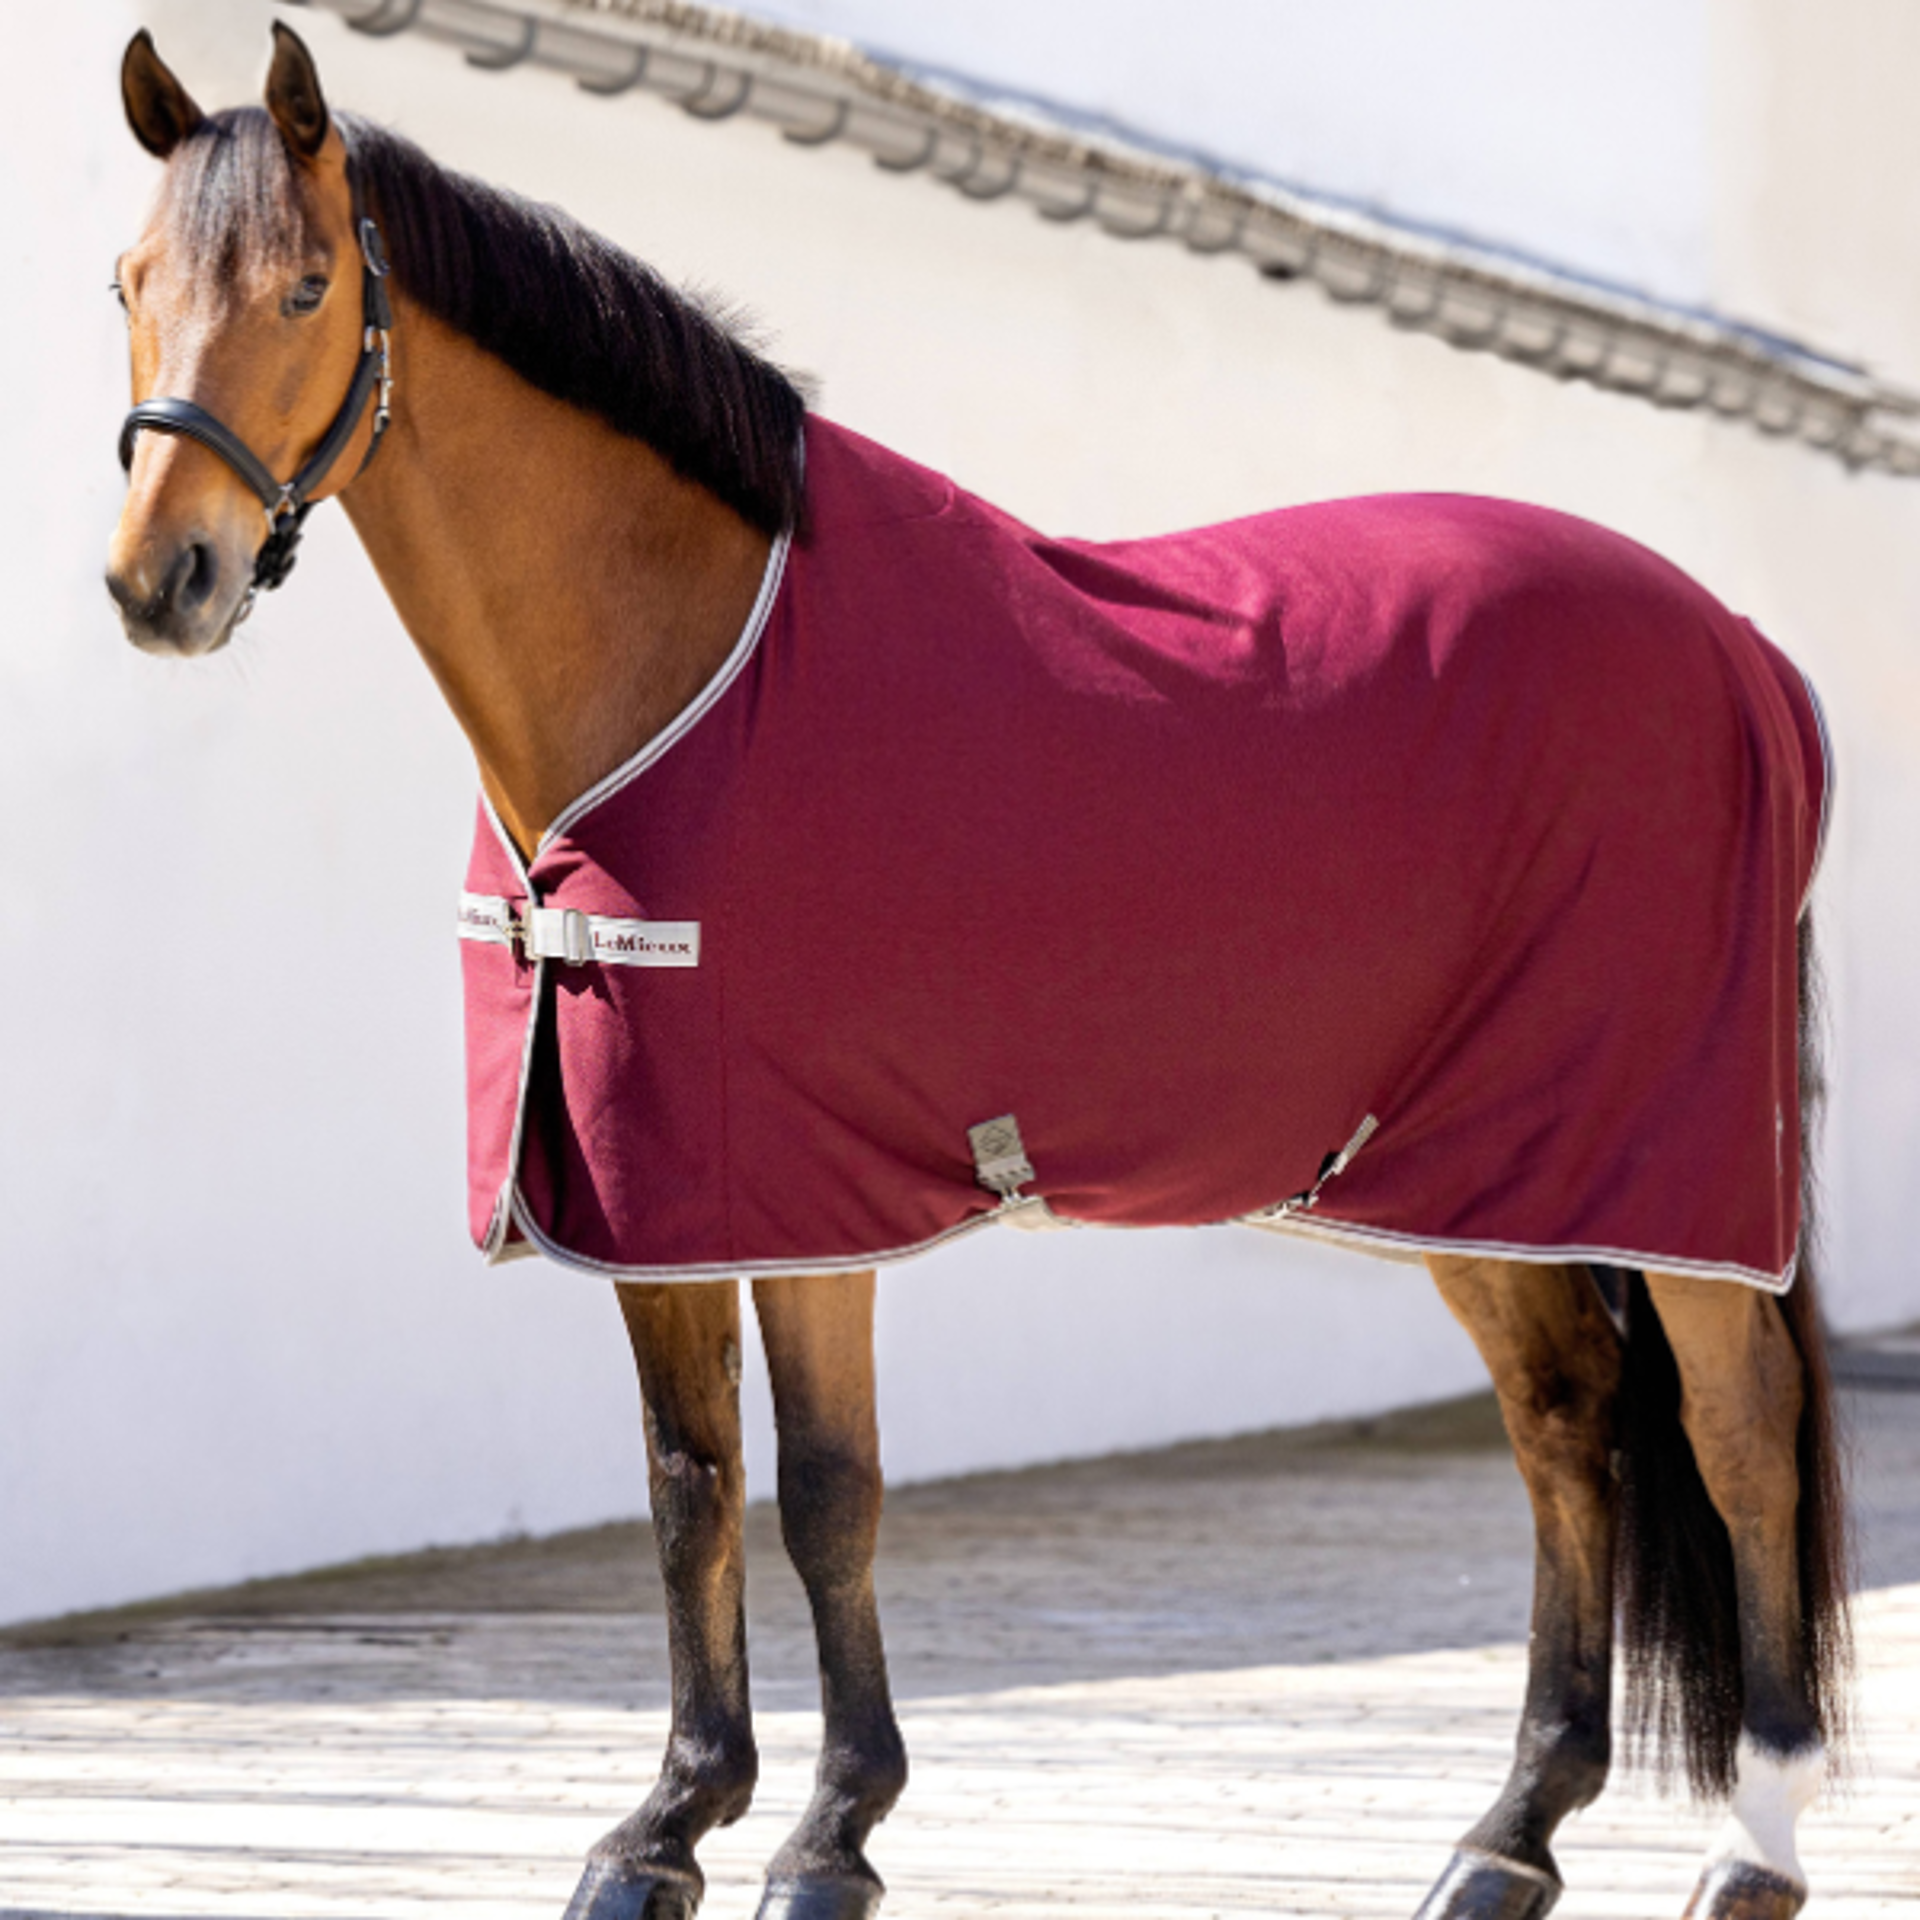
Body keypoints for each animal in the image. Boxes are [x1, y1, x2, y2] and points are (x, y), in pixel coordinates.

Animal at [105, 26, 1849, 1920]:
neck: (689, 668)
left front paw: (828, 1835)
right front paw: (661, 1829)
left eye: (304, 285)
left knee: (1739, 1429)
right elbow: (688, 1484)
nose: (161, 580)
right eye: (128, 282)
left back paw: (1748, 1848)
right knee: (1566, 1418)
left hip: (1667, 1164)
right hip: (1460, 1162)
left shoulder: (801, 1191)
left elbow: (827, 1494)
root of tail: (1743, 649)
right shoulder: (651, 1196)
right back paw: (1505, 1834)